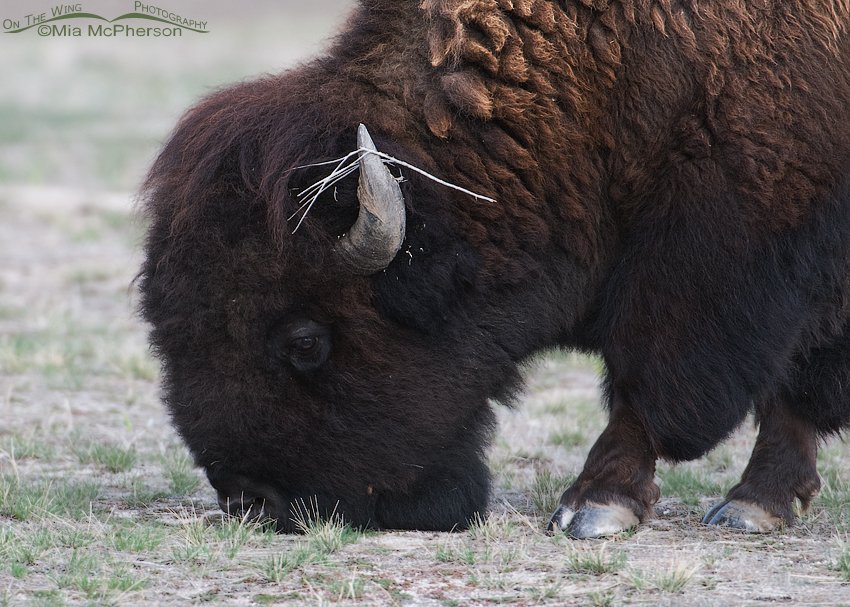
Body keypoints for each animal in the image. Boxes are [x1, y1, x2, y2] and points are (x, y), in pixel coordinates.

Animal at [139, 0, 850, 537]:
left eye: (306, 341)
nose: (251, 501)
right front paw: (761, 501)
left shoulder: (719, 258)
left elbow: (655, 382)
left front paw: (598, 506)